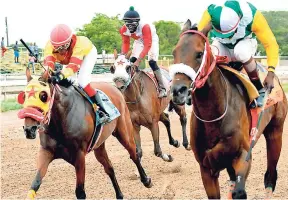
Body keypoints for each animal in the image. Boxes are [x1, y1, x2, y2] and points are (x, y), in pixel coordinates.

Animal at [17, 68, 153, 198]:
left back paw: (146, 180)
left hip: (124, 133)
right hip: (99, 146)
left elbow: (80, 192)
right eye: (24, 96)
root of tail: (115, 89)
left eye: (43, 96)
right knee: (109, 168)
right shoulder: (46, 151)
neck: (61, 120)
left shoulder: (79, 155)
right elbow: (35, 184)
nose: (29, 129)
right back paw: (119, 195)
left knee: (134, 154)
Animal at [170, 19, 286, 199]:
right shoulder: (206, 167)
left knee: (270, 175)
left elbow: (239, 191)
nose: (177, 91)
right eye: (174, 53)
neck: (213, 117)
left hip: (275, 132)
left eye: (199, 54)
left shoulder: (243, 156)